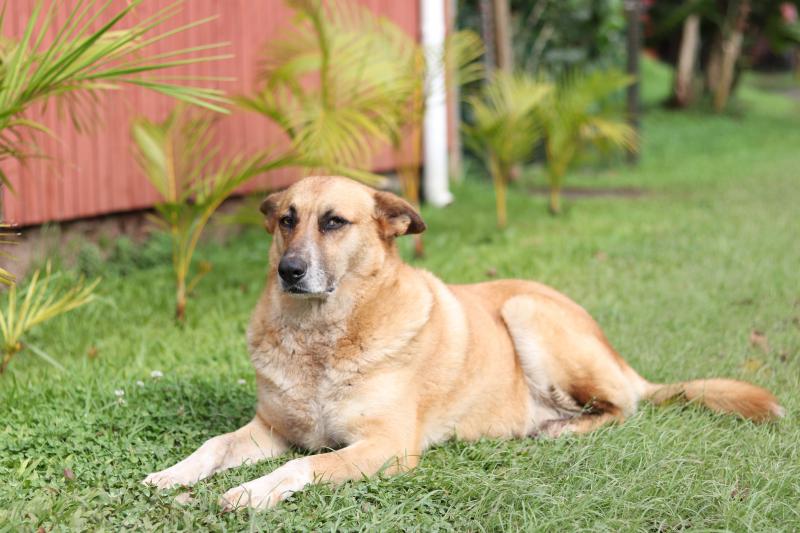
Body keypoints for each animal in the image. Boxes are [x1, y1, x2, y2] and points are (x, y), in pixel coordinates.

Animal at [142, 174, 780, 508]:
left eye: (334, 222)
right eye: (286, 220)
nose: (289, 272)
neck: (322, 337)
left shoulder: (385, 448)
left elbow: (303, 467)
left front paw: (252, 492)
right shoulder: (270, 429)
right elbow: (213, 446)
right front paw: (173, 475)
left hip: (526, 311)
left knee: (623, 407)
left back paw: (557, 429)